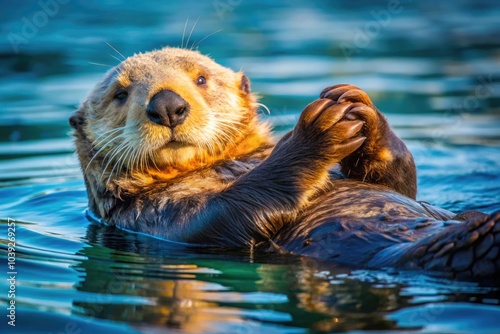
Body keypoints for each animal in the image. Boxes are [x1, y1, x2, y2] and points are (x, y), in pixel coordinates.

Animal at [70, 46, 500, 282]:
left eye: (202, 78)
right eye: (120, 94)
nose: (167, 105)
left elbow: (399, 186)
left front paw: (358, 107)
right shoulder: (154, 219)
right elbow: (225, 212)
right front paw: (313, 132)